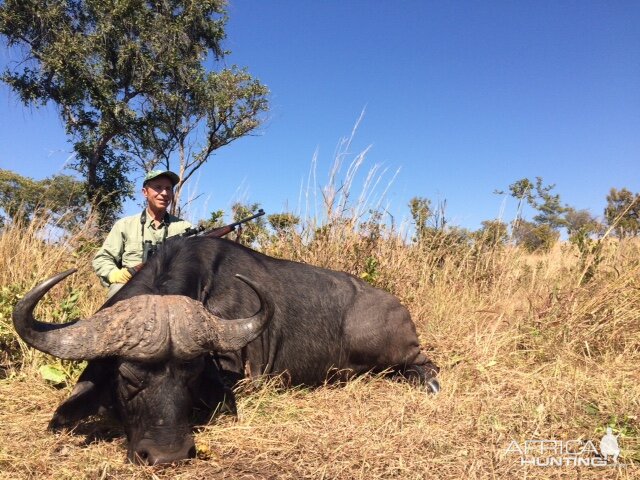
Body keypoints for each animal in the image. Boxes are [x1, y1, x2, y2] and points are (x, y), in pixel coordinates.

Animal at [12, 238, 438, 464]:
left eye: (191, 375)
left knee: (424, 366)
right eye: (128, 376)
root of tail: (397, 306)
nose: (169, 456)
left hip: (396, 352)